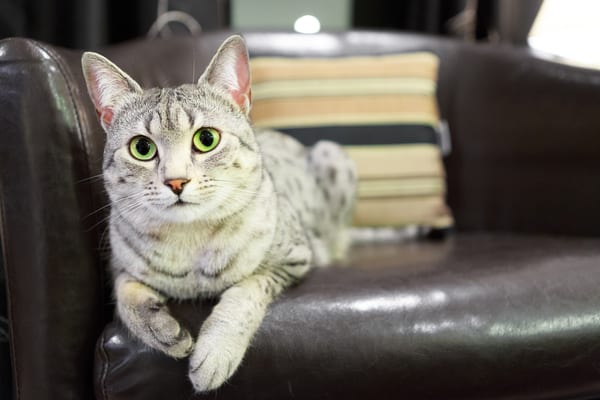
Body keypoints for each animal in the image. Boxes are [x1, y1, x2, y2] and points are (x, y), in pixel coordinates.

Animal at [82, 36, 358, 392]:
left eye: (206, 139)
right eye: (142, 148)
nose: (176, 181)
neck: (189, 244)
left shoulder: (293, 258)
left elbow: (244, 292)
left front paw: (215, 352)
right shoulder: (118, 264)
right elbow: (125, 295)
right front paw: (162, 329)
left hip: (330, 154)